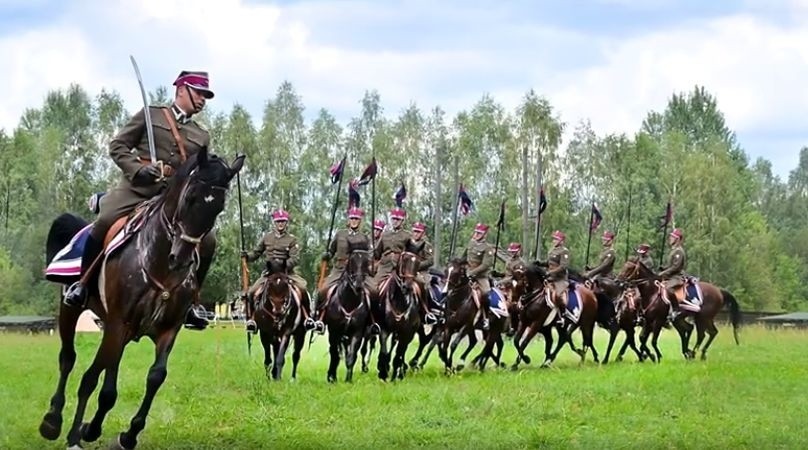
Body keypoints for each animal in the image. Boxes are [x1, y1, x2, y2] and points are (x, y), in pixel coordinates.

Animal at [39, 149, 245, 448]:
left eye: (218, 207)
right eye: (190, 197)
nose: (180, 259)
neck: (158, 262)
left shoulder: (166, 329)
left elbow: (155, 376)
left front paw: (127, 434)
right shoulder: (118, 324)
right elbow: (92, 380)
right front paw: (77, 434)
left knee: (106, 372)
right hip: (72, 313)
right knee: (68, 358)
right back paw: (53, 420)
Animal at [322, 246, 372, 384]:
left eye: (366, 262)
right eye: (351, 261)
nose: (358, 284)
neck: (349, 301)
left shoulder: (357, 333)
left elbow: (352, 356)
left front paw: (348, 379)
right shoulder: (334, 331)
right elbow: (334, 354)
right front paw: (331, 377)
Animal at [376, 243, 422, 380]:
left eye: (418, 262)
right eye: (404, 259)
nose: (407, 287)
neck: (399, 300)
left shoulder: (406, 332)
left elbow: (399, 354)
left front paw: (394, 375)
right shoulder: (384, 329)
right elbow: (384, 351)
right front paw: (383, 371)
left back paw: (402, 370)